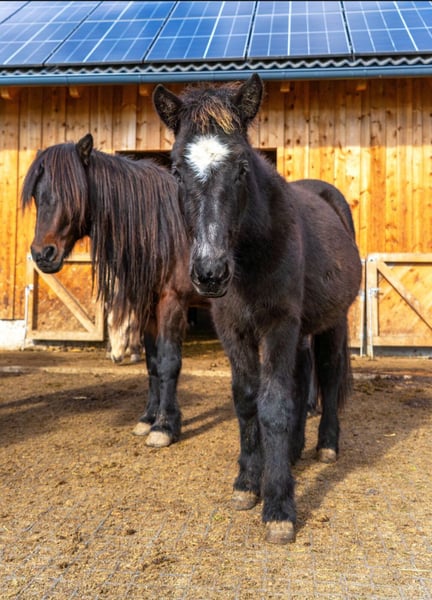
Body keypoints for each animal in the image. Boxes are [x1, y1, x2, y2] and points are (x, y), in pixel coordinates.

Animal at [22, 133, 208, 447]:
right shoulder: (149, 307)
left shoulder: (172, 302)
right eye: (36, 195)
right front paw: (147, 420)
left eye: (72, 193)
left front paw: (165, 426)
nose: (43, 254)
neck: (167, 230)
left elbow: (169, 362)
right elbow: (153, 363)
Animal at [153, 74, 362, 544]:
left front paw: (279, 506)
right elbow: (248, 401)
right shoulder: (234, 330)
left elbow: (275, 405)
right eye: (175, 170)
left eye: (243, 168)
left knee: (327, 374)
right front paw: (249, 482)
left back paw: (326, 446)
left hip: (332, 323)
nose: (210, 272)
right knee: (303, 376)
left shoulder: (278, 326)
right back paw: (296, 450)